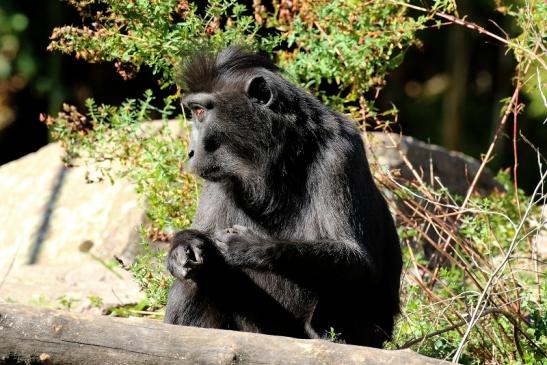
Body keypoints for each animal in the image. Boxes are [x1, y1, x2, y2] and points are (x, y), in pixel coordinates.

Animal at [164, 47, 402, 346]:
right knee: (196, 276)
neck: (278, 159)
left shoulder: (339, 154)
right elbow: (198, 241)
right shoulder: (218, 173)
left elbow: (359, 261)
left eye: (200, 111)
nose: (191, 152)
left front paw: (250, 246)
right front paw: (182, 248)